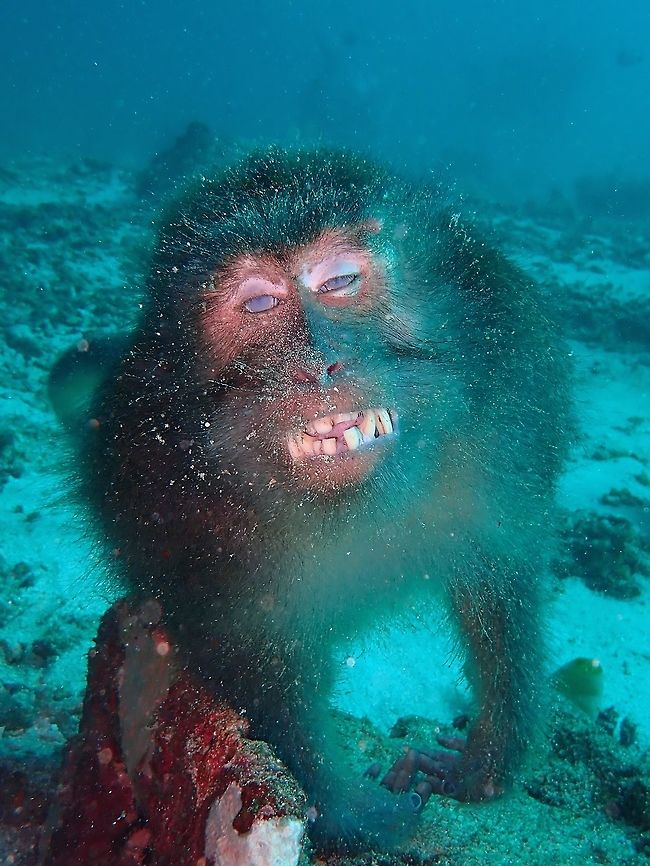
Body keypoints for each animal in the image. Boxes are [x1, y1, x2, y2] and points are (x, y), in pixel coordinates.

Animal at [60, 147, 569, 851]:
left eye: (339, 281)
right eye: (259, 303)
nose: (318, 364)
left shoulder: (509, 421)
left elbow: (500, 581)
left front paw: (483, 764)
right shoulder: (166, 511)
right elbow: (257, 674)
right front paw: (350, 813)